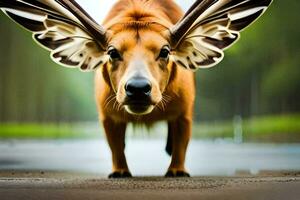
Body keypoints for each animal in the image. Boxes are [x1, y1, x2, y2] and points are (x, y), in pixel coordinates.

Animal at [0, 0, 272, 178]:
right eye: (112, 52)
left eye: (165, 51)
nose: (138, 88)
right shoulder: (108, 116)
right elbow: (115, 145)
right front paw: (120, 171)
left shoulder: (184, 112)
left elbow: (182, 142)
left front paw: (177, 170)